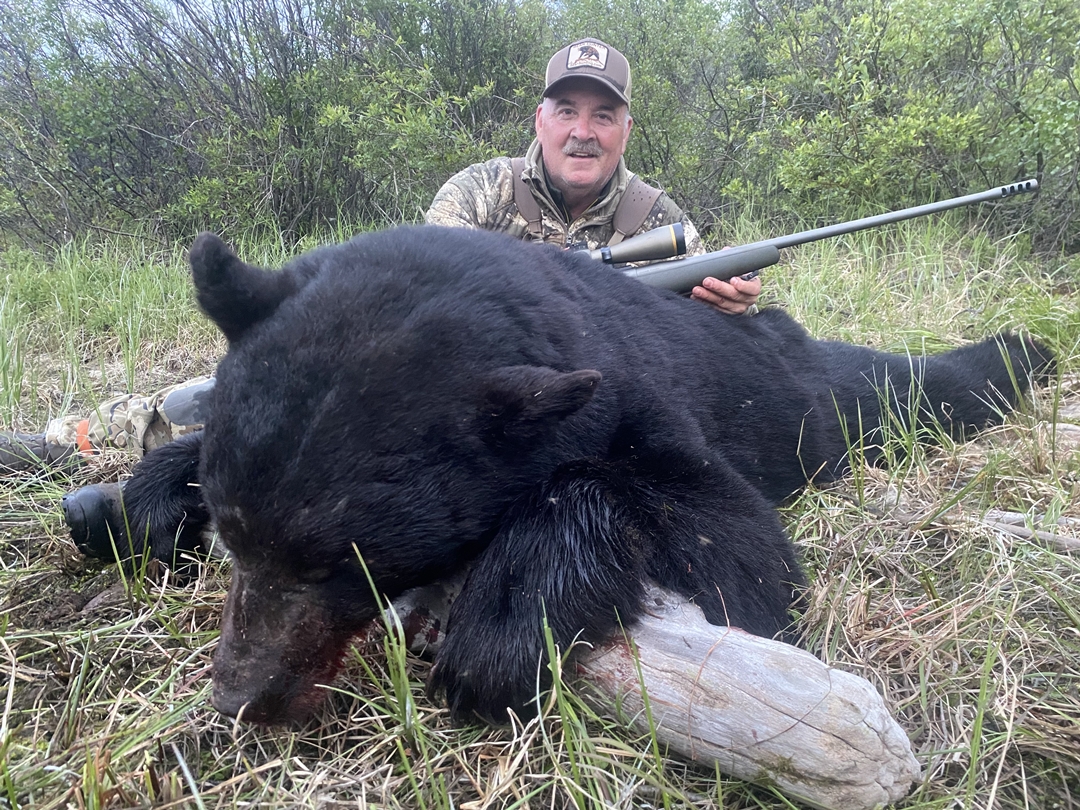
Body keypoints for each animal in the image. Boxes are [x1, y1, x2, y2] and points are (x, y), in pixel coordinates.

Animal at [75, 225, 1055, 724]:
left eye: (338, 563)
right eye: (238, 538)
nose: (238, 699)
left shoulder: (637, 402)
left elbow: (739, 551)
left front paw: (505, 627)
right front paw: (145, 498)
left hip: (814, 409)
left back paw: (1023, 352)